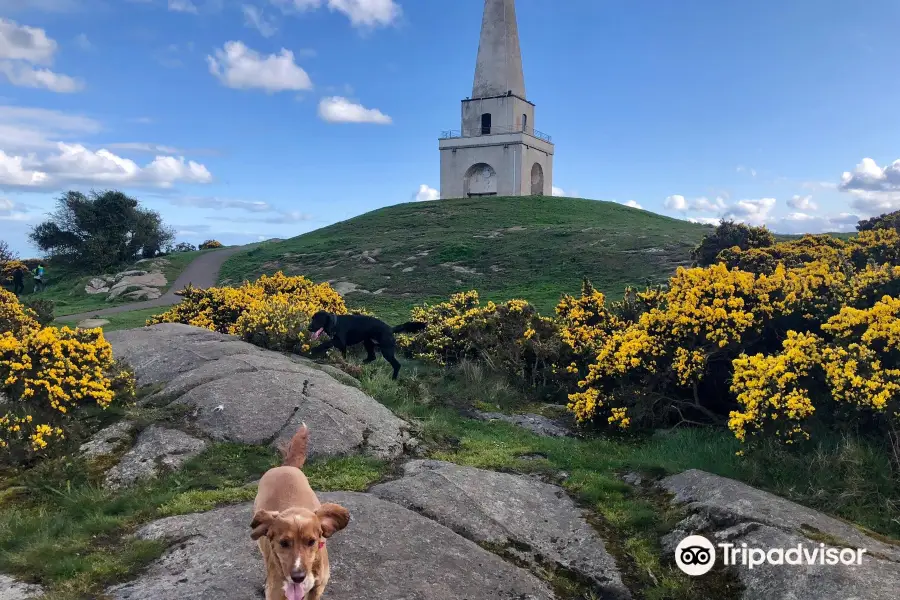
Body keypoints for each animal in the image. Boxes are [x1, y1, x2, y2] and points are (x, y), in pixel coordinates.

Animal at [253, 426, 356, 600]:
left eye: (311, 541)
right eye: (283, 543)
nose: (298, 577)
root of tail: (287, 466)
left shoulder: (317, 588)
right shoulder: (276, 593)